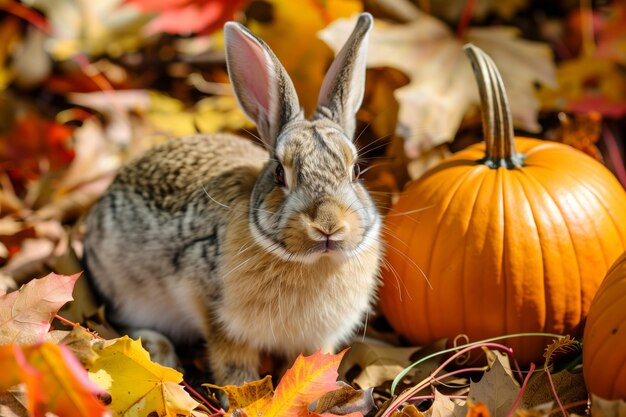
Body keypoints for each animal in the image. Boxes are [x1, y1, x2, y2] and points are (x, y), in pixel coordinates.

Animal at [83, 12, 380, 384]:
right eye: (280, 173)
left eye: (356, 170)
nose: (328, 225)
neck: (314, 263)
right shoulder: (217, 313)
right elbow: (233, 363)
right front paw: (240, 390)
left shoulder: (318, 339)